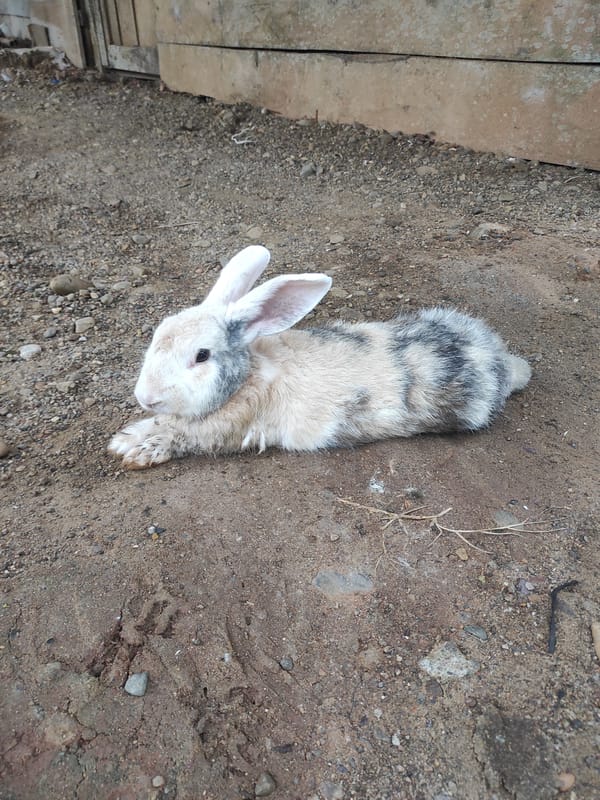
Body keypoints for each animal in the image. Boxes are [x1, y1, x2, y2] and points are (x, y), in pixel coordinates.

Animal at [108, 245, 531, 469]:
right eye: (158, 332)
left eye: (201, 356)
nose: (146, 397)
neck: (251, 375)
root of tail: (499, 360)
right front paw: (128, 438)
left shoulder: (221, 429)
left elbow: (180, 433)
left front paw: (131, 448)